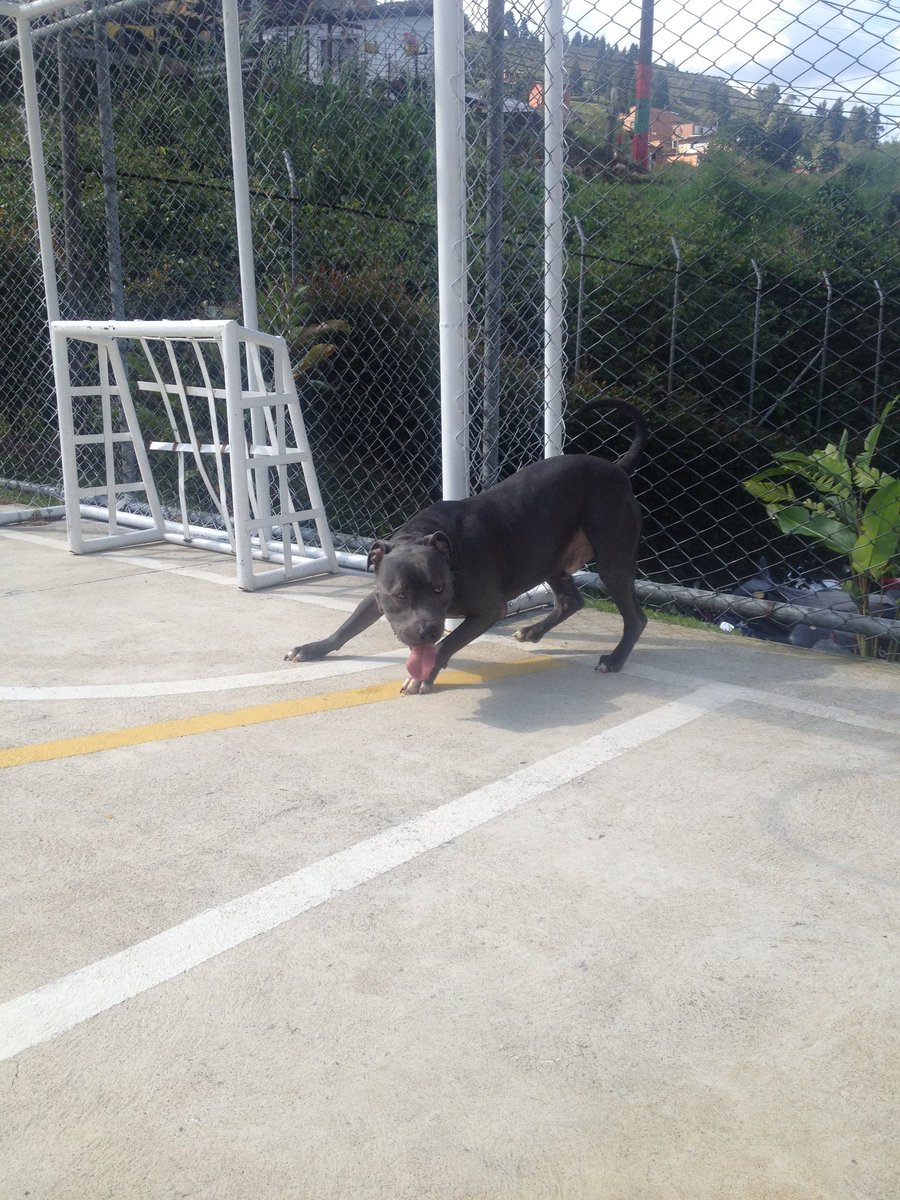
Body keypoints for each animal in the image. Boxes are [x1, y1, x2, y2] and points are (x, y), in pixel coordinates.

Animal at [286, 398, 648, 696]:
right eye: (399, 595)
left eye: (439, 588)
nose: (425, 631)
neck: (428, 539)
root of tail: (616, 468)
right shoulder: (376, 594)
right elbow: (347, 627)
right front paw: (312, 648)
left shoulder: (489, 609)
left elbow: (448, 642)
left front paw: (425, 674)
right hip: (549, 557)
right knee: (571, 600)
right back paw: (532, 632)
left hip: (612, 560)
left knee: (635, 617)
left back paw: (614, 659)